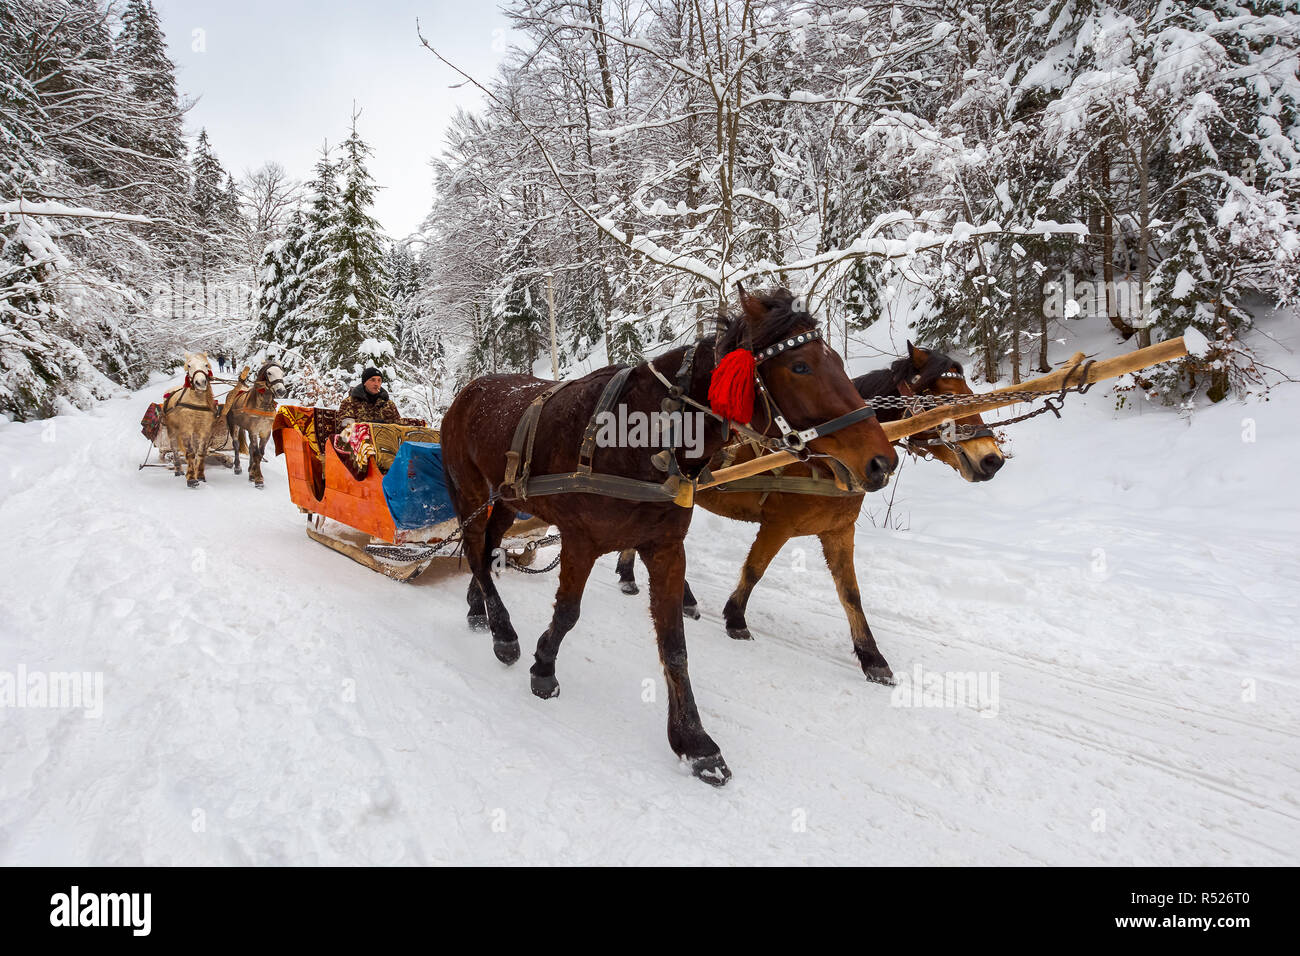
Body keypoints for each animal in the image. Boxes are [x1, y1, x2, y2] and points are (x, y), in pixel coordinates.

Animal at [162, 351, 220, 486]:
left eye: (206, 364)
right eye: (189, 365)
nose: (201, 383)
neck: (197, 402)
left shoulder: (205, 430)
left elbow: (200, 452)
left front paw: (200, 474)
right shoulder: (186, 429)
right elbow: (190, 452)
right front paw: (191, 478)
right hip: (172, 430)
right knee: (174, 448)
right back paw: (178, 469)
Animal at [227, 361, 291, 489]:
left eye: (282, 373)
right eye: (269, 373)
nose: (281, 391)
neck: (263, 405)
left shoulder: (265, 432)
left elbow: (260, 454)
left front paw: (253, 474)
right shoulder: (254, 430)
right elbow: (256, 454)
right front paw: (259, 479)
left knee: (250, 447)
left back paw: (250, 469)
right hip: (234, 425)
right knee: (236, 444)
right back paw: (237, 467)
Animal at [441, 283, 899, 785]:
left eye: (835, 359)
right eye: (800, 366)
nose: (882, 461)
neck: (641, 438)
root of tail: (468, 390)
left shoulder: (664, 547)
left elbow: (674, 645)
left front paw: (694, 742)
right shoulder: (581, 541)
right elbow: (567, 614)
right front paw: (543, 666)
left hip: (507, 499)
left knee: (487, 549)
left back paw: (478, 609)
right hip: (468, 492)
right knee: (478, 553)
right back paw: (502, 632)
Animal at [616, 340, 1003, 686]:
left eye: (969, 391)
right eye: (946, 400)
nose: (992, 459)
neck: (831, 461)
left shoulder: (839, 530)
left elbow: (850, 593)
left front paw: (872, 658)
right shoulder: (779, 524)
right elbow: (755, 570)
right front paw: (735, 619)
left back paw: (641, 579)